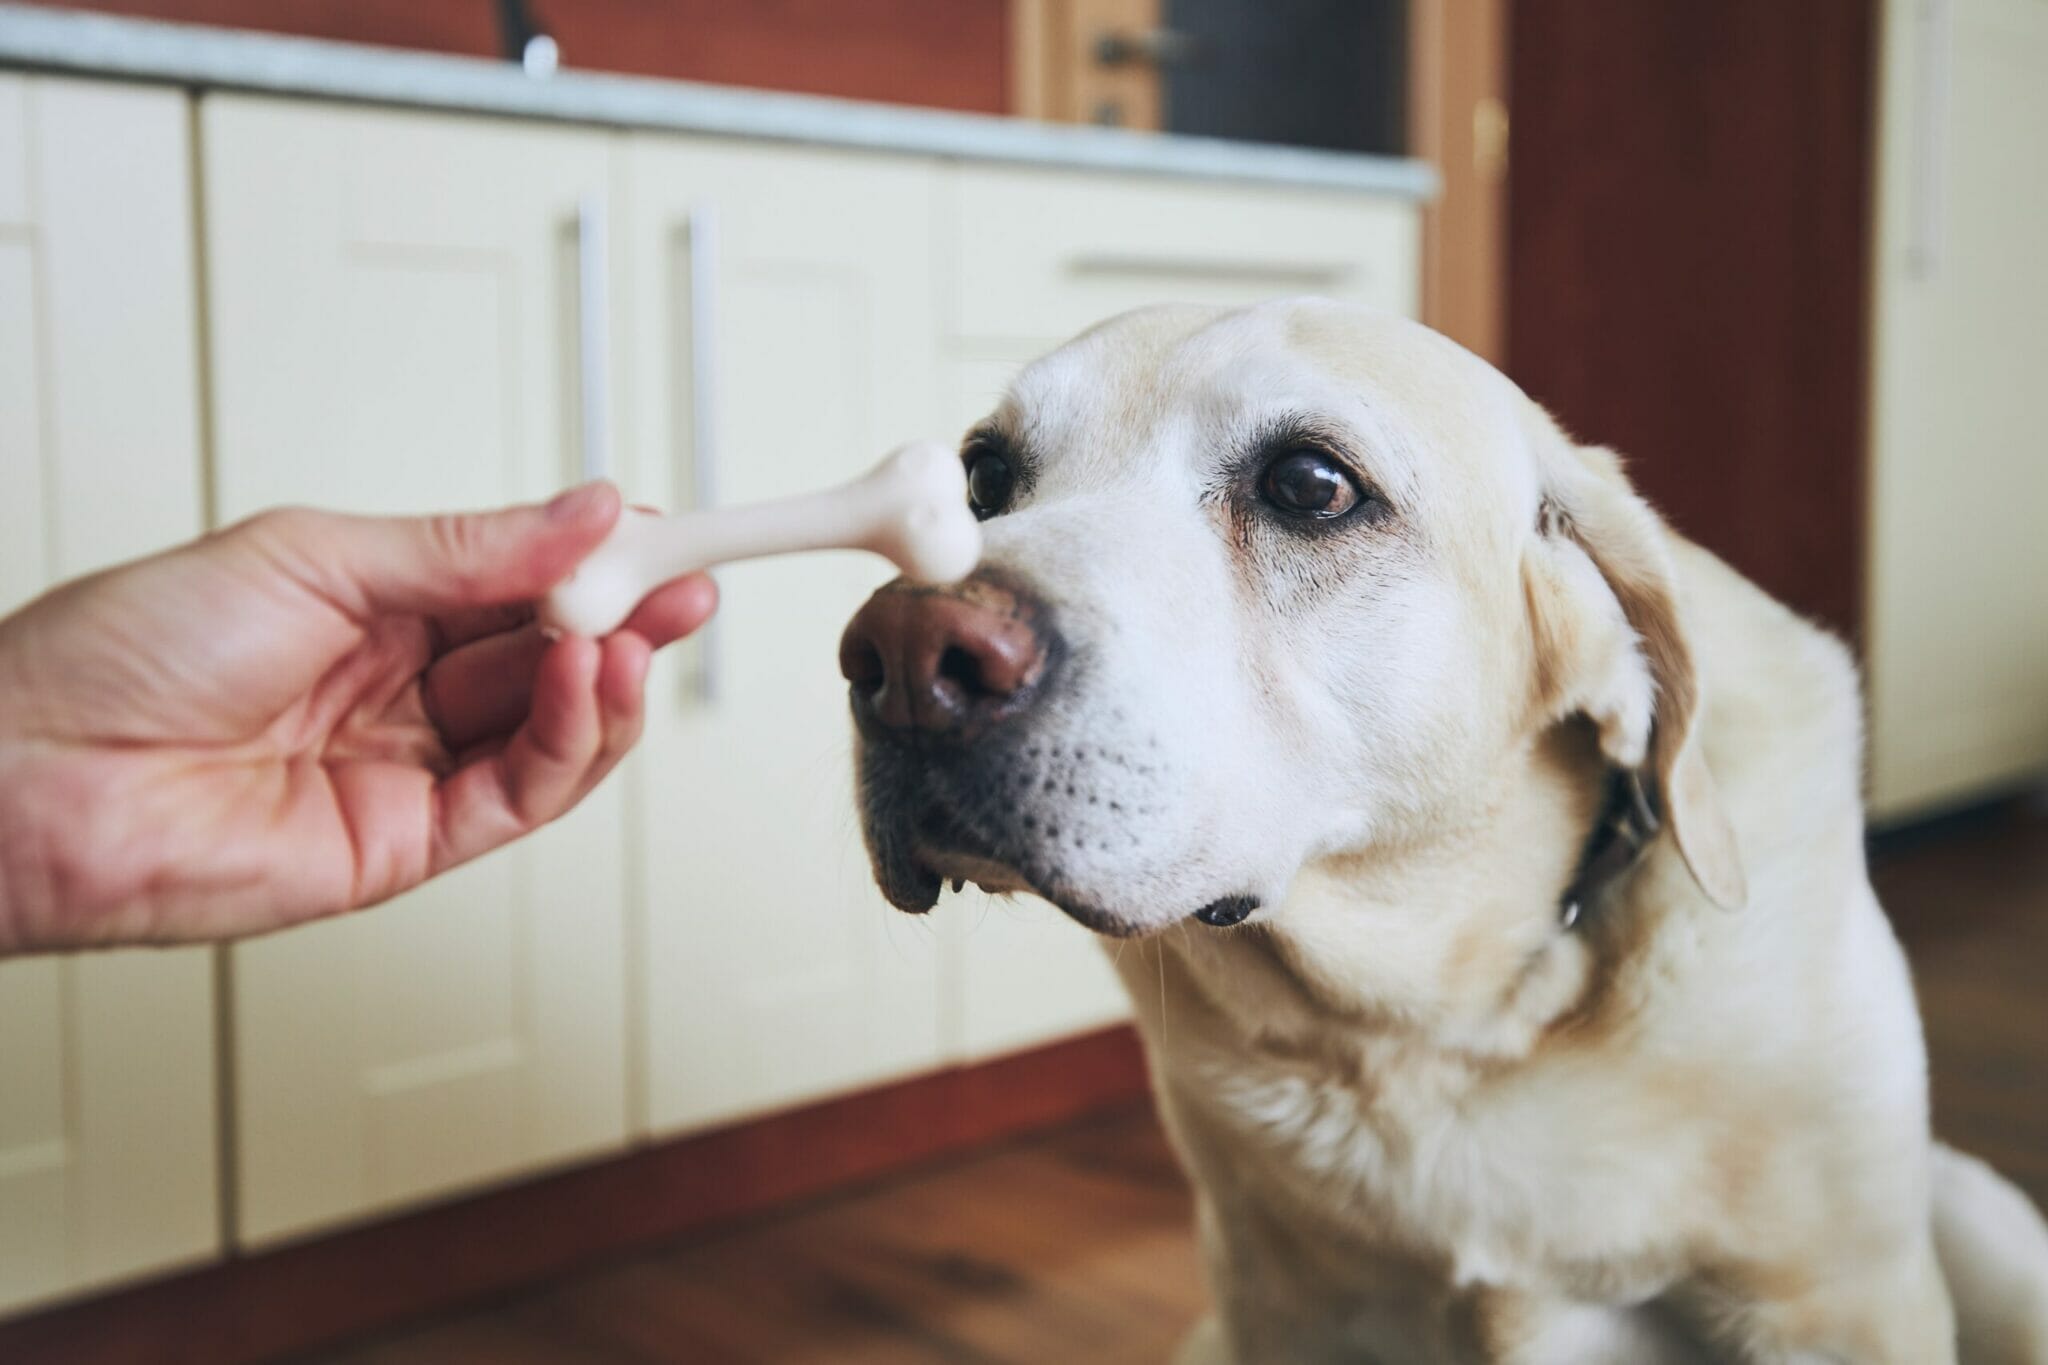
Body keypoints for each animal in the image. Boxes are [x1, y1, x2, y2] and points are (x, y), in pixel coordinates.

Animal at [835, 300, 2048, 1365]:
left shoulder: (1838, 1307)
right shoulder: (1278, 1308)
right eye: (982, 478)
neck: (1434, 1031)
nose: (904, 658)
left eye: (1309, 486)